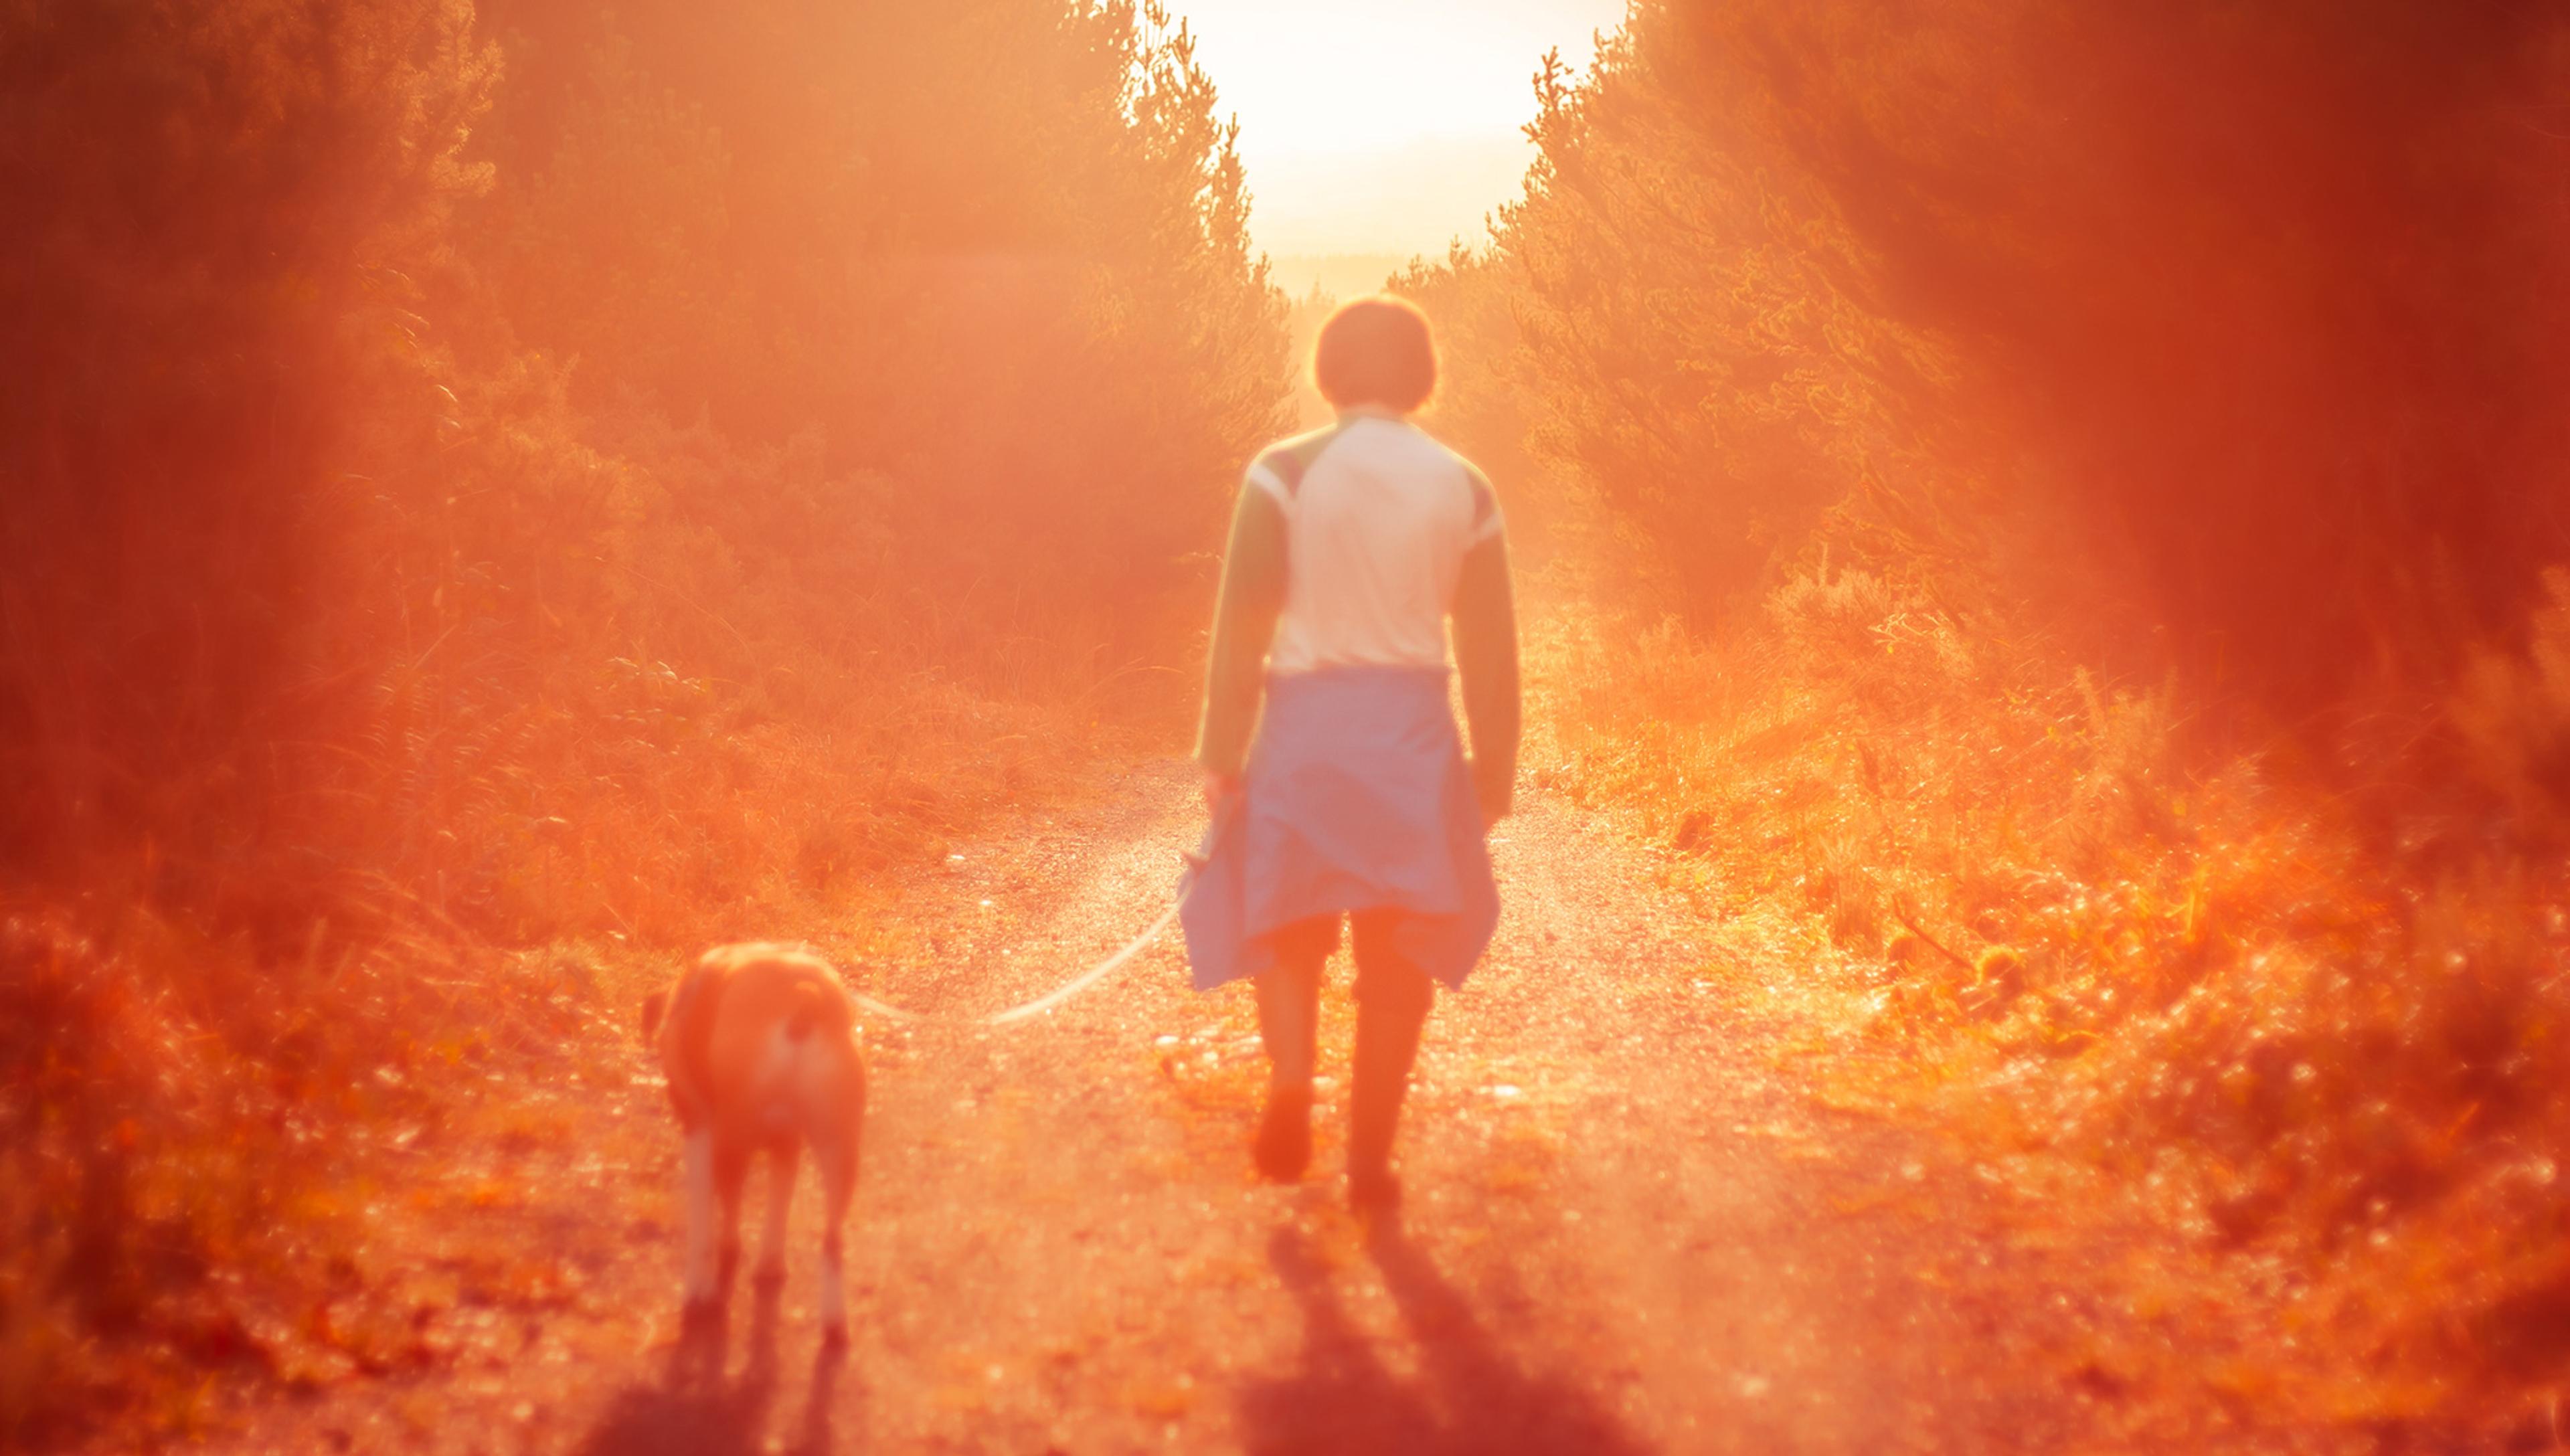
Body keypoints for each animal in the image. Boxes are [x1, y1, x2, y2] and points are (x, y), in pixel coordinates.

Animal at [640, 945, 863, 1345]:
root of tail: (804, 997)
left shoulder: (699, 1134)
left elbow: (702, 1220)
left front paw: (695, 1287)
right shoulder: (787, 1146)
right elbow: (778, 1205)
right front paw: (771, 1266)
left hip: (730, 1146)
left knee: (730, 1231)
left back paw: (713, 1291)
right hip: (840, 1151)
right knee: (832, 1241)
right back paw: (834, 1322)